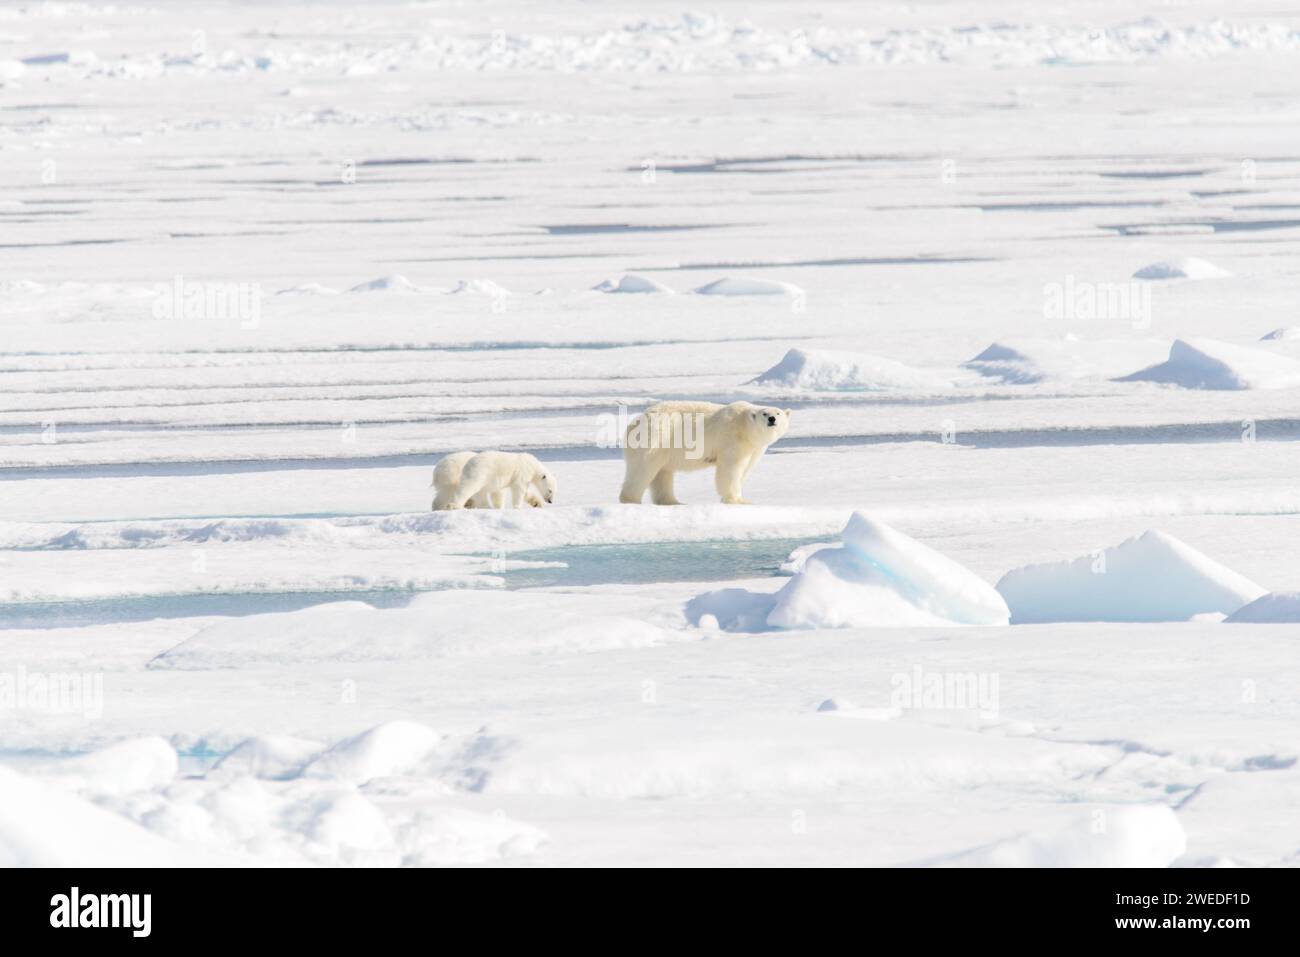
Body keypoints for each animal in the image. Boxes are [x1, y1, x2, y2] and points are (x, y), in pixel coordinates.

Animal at [619, 401, 791, 505]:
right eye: (764, 413)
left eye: (778, 413)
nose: (772, 419)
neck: (744, 426)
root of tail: (633, 423)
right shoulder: (731, 440)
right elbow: (730, 470)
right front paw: (736, 500)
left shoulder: (753, 449)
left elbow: (745, 469)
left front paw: (742, 498)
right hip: (656, 438)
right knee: (642, 469)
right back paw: (631, 500)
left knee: (662, 473)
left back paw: (672, 501)